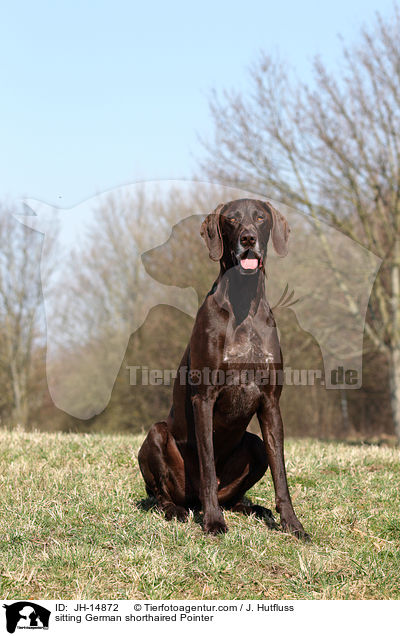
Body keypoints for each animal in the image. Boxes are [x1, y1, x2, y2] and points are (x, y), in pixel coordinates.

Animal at [138, 198, 310, 536]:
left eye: (260, 217)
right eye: (231, 219)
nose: (248, 238)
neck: (244, 300)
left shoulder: (271, 402)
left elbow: (280, 472)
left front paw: (292, 524)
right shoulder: (204, 398)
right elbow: (206, 461)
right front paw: (214, 522)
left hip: (254, 445)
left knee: (234, 493)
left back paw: (252, 508)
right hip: (157, 435)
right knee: (163, 494)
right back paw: (179, 510)